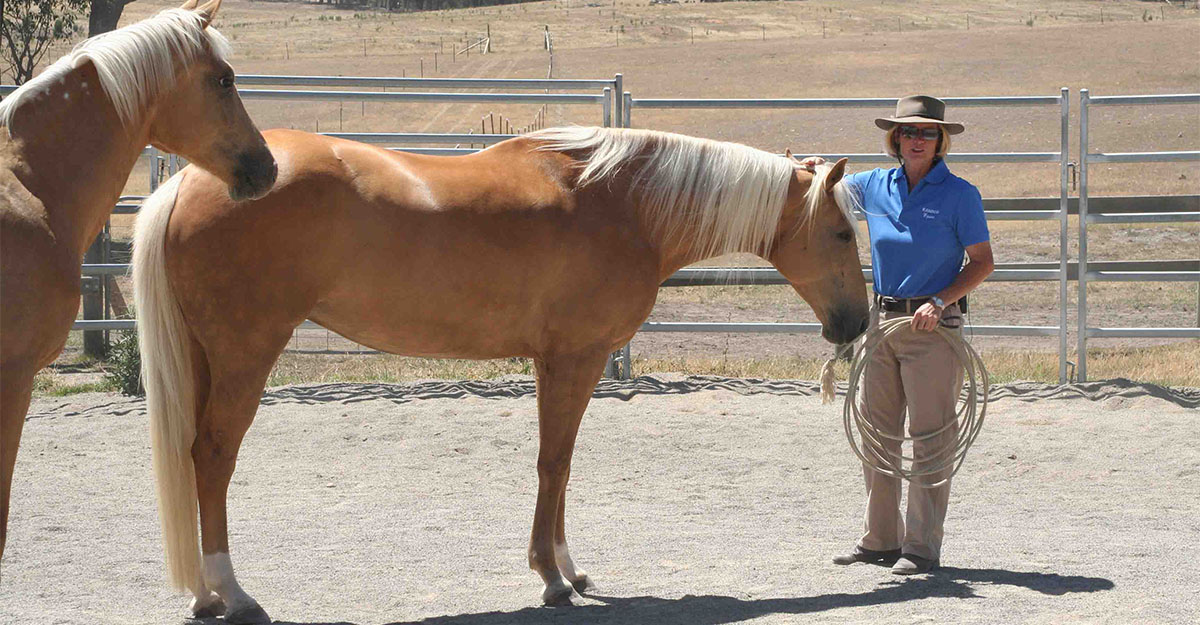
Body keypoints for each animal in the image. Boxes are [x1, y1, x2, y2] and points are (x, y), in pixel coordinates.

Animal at [133, 125, 869, 622]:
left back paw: (205, 594)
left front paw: (570, 568)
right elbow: (555, 462)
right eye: (842, 234)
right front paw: (551, 578)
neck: (621, 204)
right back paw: (231, 592)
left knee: (193, 455)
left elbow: (560, 464)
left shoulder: (556, 360)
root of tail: (187, 180)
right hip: (245, 353)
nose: (856, 322)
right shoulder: (576, 357)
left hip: (205, 356)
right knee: (213, 455)